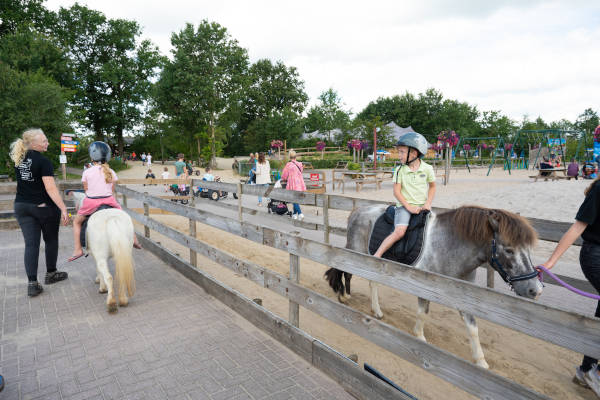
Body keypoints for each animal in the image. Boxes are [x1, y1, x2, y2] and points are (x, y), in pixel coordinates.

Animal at [326, 205, 540, 368]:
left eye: (528, 250)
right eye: (509, 250)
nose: (535, 289)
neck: (449, 246)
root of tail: (358, 210)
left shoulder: (465, 295)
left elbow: (472, 328)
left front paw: (481, 361)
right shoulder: (423, 284)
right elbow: (423, 313)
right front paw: (419, 338)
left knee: (372, 281)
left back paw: (375, 310)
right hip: (356, 253)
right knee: (346, 272)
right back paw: (344, 296)